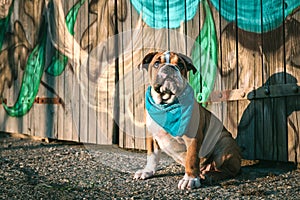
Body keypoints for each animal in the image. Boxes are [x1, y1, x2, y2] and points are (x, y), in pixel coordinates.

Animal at [134, 50, 241, 190]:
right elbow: (152, 156)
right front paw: (147, 171)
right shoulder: (152, 135)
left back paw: (210, 175)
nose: (170, 67)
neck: (166, 104)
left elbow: (191, 158)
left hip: (225, 142)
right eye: (157, 63)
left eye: (180, 65)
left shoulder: (193, 138)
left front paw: (190, 179)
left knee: (230, 171)